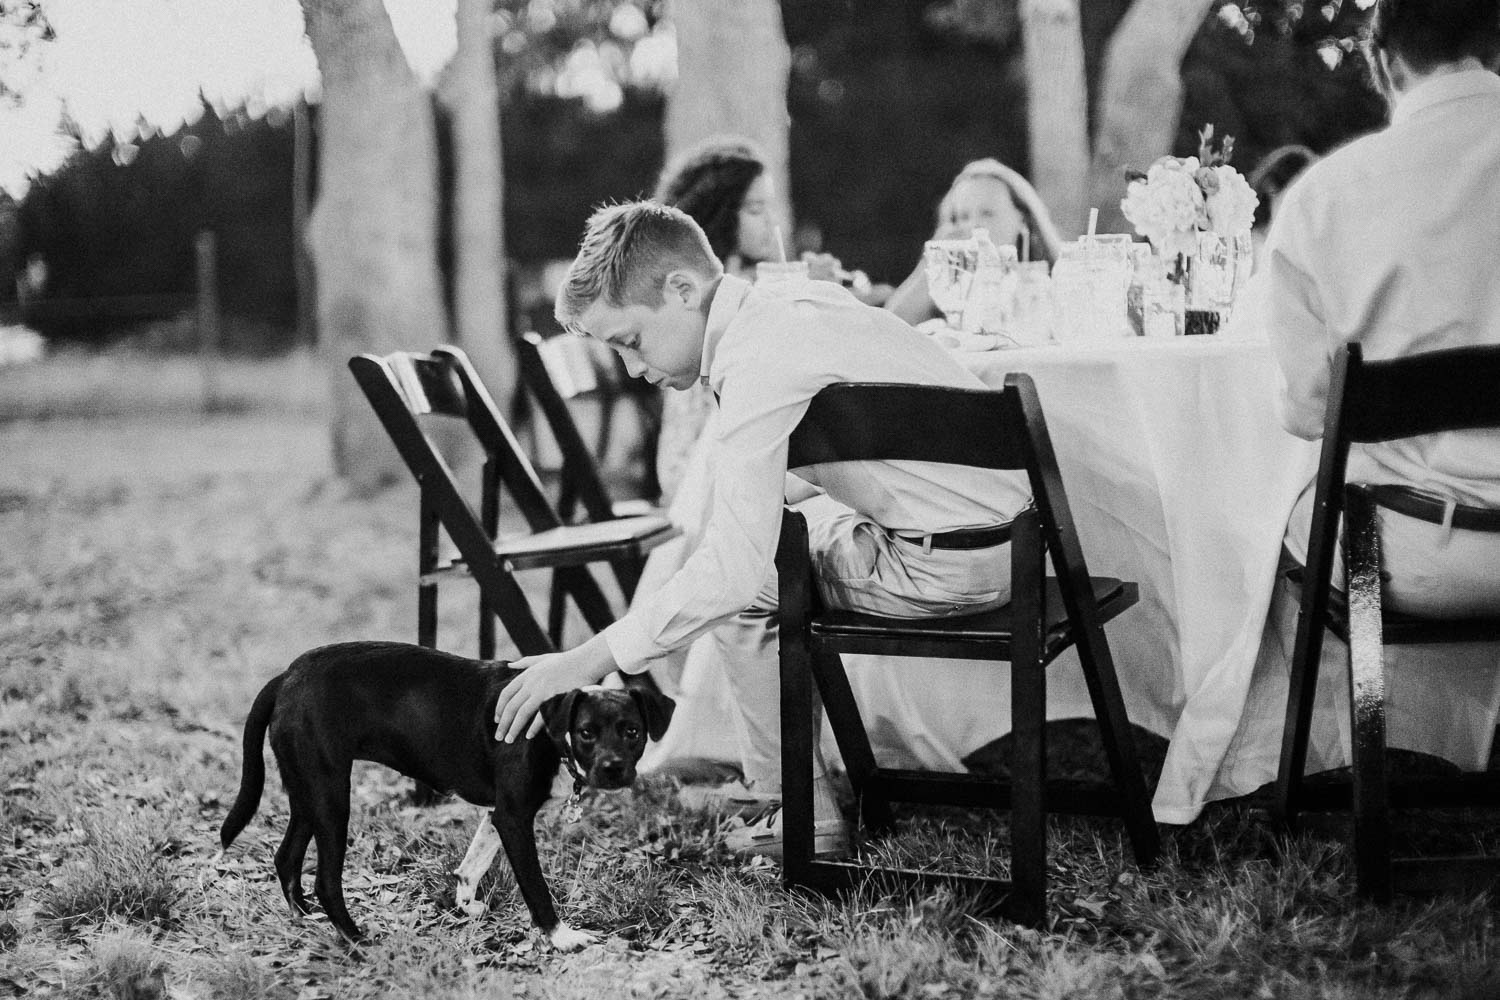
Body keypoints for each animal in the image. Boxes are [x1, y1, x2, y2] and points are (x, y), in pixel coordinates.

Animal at [219, 644, 675, 953]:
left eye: (632, 731)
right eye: (586, 733)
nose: (613, 769)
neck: (548, 725)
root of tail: (287, 676)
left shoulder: (498, 813)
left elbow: (474, 862)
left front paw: (465, 903)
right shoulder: (514, 816)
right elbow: (536, 887)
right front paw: (561, 937)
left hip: (308, 790)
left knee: (286, 857)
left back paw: (304, 919)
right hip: (330, 796)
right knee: (326, 881)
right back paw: (357, 939)